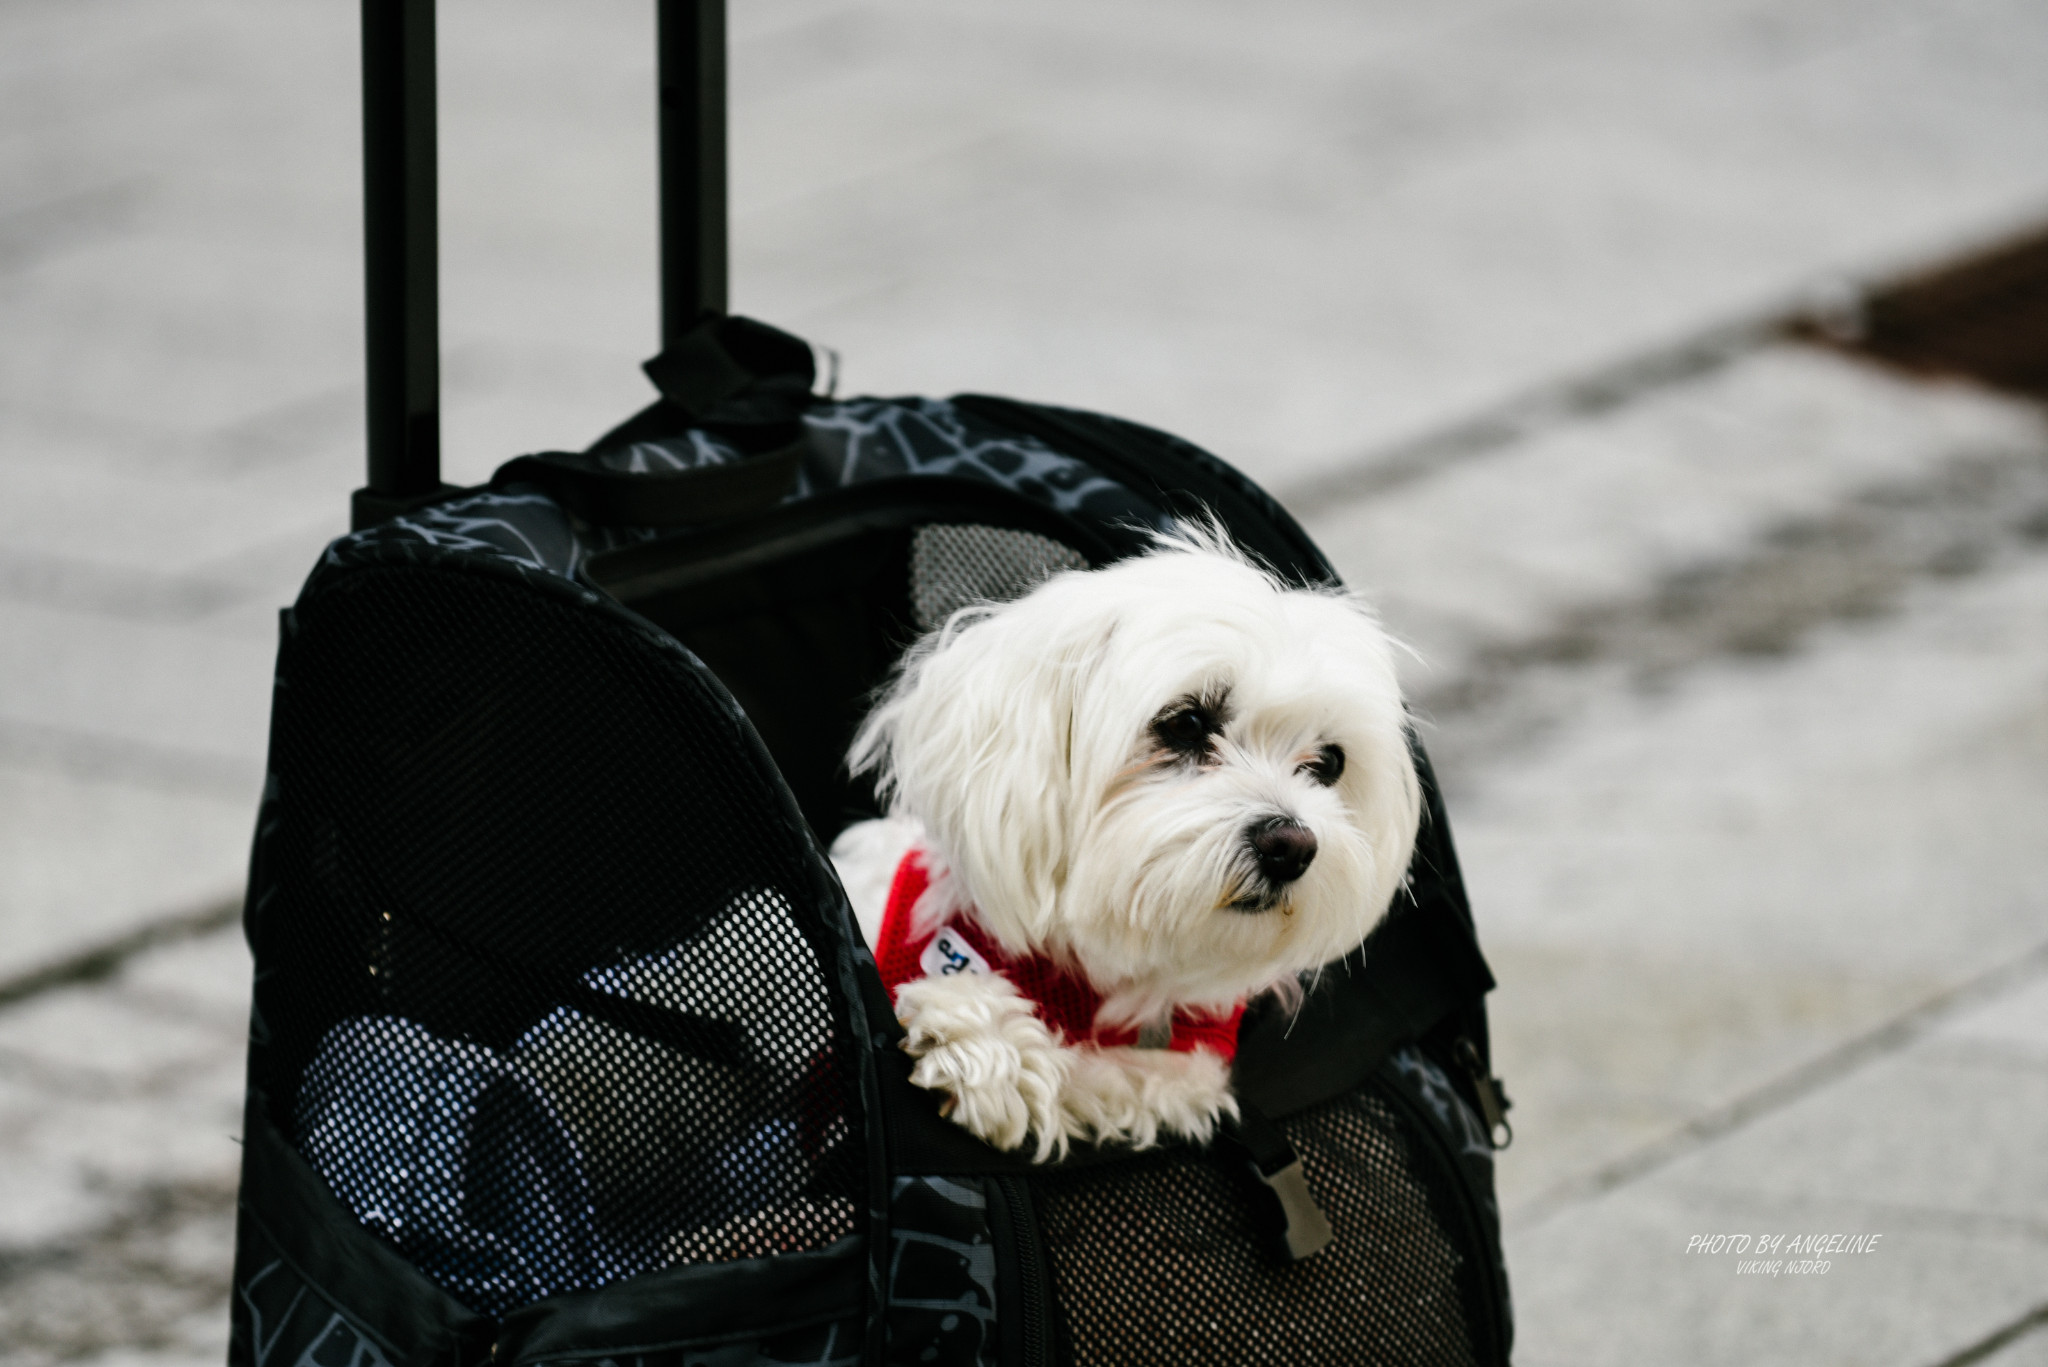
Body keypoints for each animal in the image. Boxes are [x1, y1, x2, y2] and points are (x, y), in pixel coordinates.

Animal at [823, 528, 1417, 1164]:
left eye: (1329, 762)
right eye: (1185, 723)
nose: (1291, 845)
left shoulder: (1183, 1062)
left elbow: (1121, 1075)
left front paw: (994, 1048)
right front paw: (981, 1034)